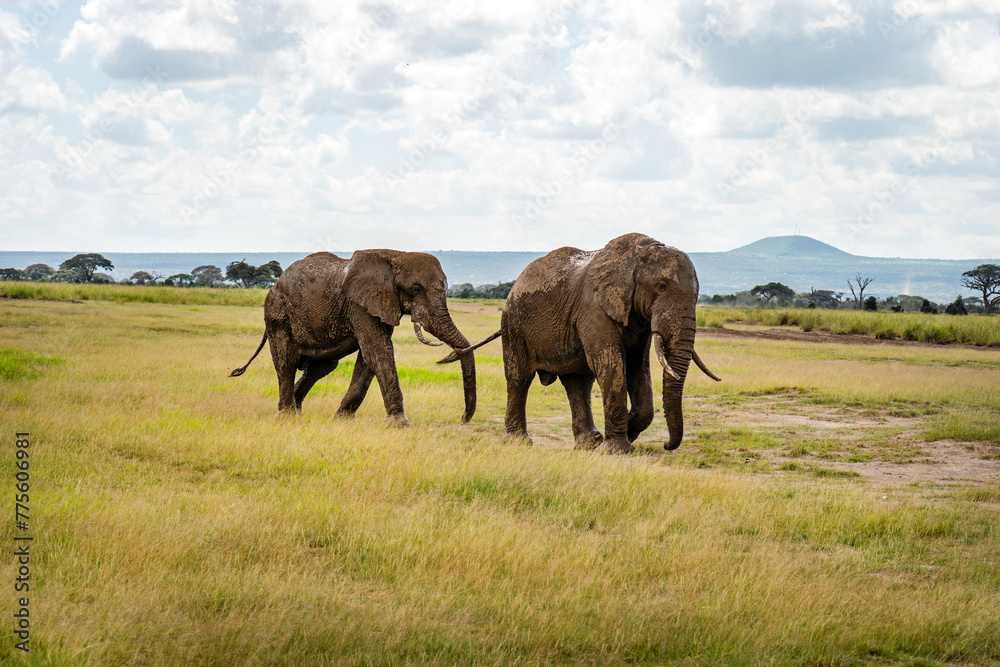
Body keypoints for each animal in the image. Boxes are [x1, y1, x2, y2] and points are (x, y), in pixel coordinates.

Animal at [230, 248, 476, 426]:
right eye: (415, 289)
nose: (463, 419)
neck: (396, 255)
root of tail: (276, 283)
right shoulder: (360, 305)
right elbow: (378, 350)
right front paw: (400, 424)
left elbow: (368, 357)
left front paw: (342, 420)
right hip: (277, 314)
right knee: (286, 362)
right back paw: (287, 417)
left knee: (322, 366)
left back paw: (297, 412)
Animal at [446, 231, 720, 454]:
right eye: (661, 286)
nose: (666, 444)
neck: (636, 255)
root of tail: (515, 284)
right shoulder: (593, 307)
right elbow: (611, 365)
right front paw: (618, 450)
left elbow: (637, 369)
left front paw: (625, 433)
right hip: (514, 322)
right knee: (519, 378)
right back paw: (519, 442)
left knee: (578, 383)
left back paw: (590, 442)